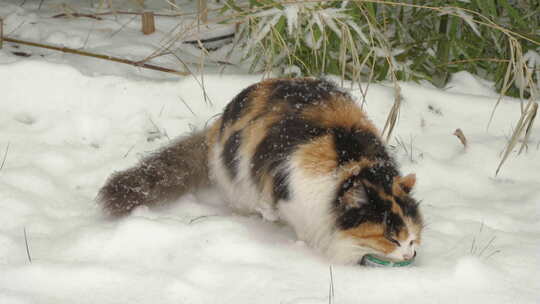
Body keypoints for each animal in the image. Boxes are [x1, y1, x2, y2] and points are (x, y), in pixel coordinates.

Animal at [99, 78, 424, 264]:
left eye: (412, 238)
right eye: (392, 239)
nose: (411, 254)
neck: (354, 165)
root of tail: (217, 125)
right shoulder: (296, 199)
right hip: (238, 183)